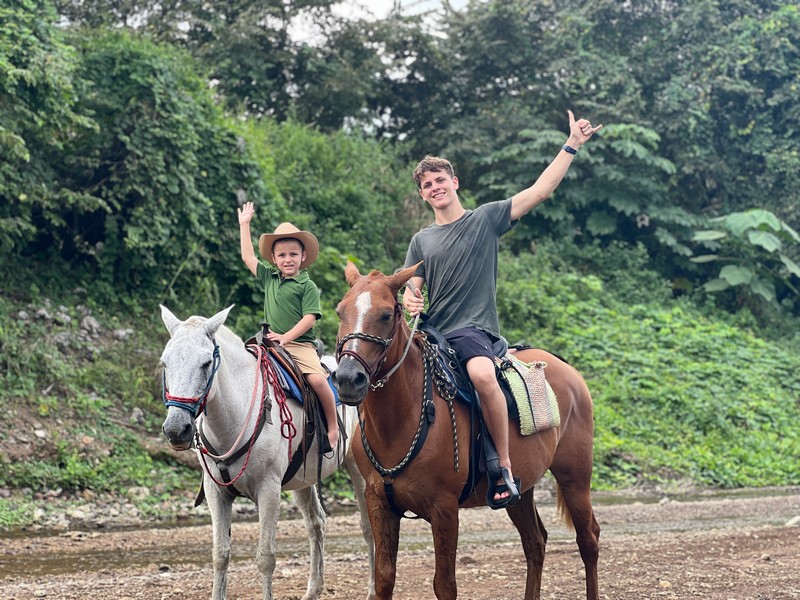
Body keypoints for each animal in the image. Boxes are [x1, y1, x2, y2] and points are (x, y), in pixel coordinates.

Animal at [162, 308, 378, 596]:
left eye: (206, 363)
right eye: (165, 363)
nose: (177, 429)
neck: (237, 415)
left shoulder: (269, 489)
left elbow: (265, 558)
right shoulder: (215, 491)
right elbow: (220, 555)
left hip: (358, 470)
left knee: (368, 527)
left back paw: (373, 590)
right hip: (303, 479)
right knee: (316, 523)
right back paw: (313, 590)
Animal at [332, 264, 600, 600]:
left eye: (385, 314)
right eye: (340, 311)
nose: (347, 378)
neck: (400, 421)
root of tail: (567, 369)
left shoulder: (444, 509)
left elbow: (445, 584)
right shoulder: (378, 503)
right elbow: (383, 578)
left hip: (574, 476)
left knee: (588, 539)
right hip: (520, 491)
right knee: (535, 543)